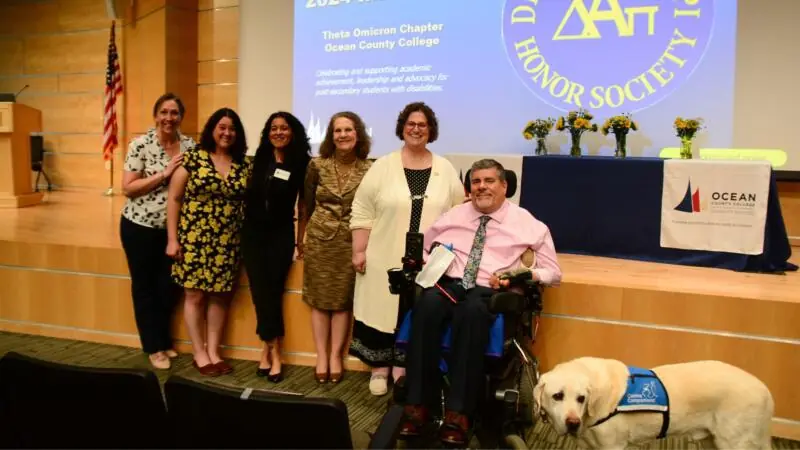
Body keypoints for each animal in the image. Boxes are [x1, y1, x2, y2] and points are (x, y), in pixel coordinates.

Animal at [536, 356, 772, 448]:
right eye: (557, 396)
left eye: (581, 398)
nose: (573, 423)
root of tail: (765, 390)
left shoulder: (612, 446)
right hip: (713, 440)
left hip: (735, 442)